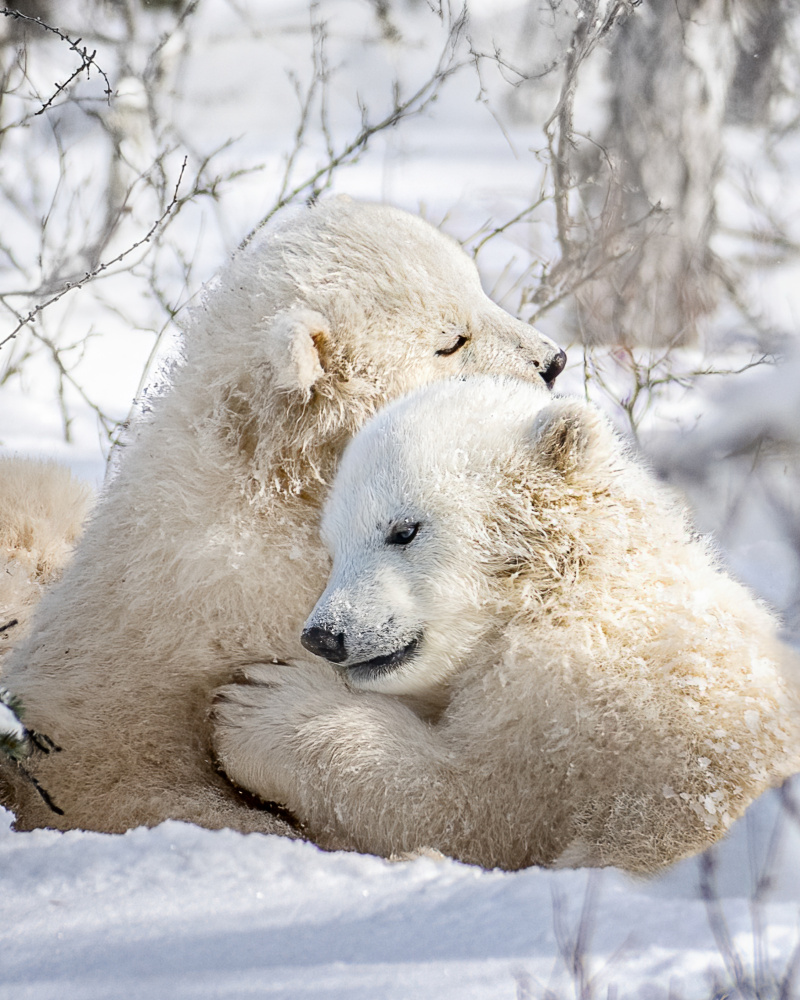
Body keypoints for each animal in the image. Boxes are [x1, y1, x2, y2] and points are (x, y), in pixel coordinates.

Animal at [211, 376, 800, 876]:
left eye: (403, 530)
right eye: (332, 548)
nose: (324, 635)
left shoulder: (574, 704)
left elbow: (478, 807)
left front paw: (254, 706)